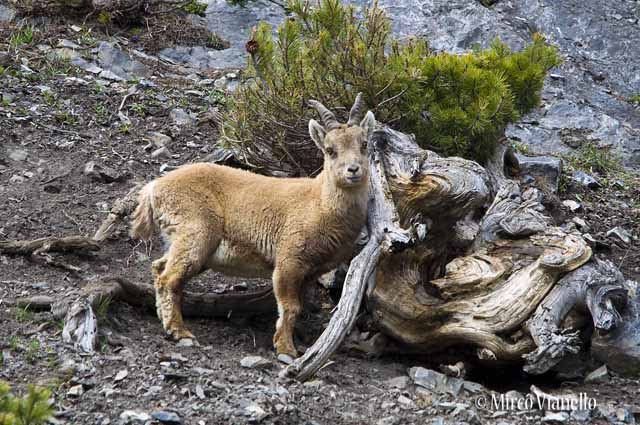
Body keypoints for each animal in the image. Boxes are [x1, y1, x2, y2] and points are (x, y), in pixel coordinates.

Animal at [130, 94, 374, 357]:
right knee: (169, 278)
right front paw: (285, 349)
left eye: (364, 144)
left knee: (159, 267)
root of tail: (154, 188)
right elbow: (290, 307)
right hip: (196, 232)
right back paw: (179, 331)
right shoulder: (289, 260)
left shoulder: (311, 271)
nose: (353, 170)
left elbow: (298, 306)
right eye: (330, 150)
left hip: (186, 242)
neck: (320, 203)